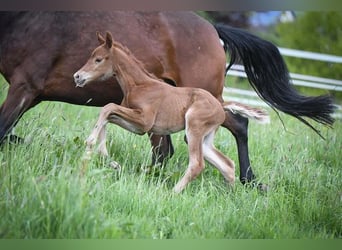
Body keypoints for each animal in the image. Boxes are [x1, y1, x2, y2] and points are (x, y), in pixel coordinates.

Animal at [73, 32, 268, 192]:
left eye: (99, 59)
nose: (77, 76)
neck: (140, 85)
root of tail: (221, 105)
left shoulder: (144, 122)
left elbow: (108, 107)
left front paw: (90, 143)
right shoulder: (137, 125)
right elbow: (108, 116)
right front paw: (109, 160)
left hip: (194, 128)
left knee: (197, 164)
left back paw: (173, 192)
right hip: (205, 138)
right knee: (227, 164)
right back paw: (229, 196)